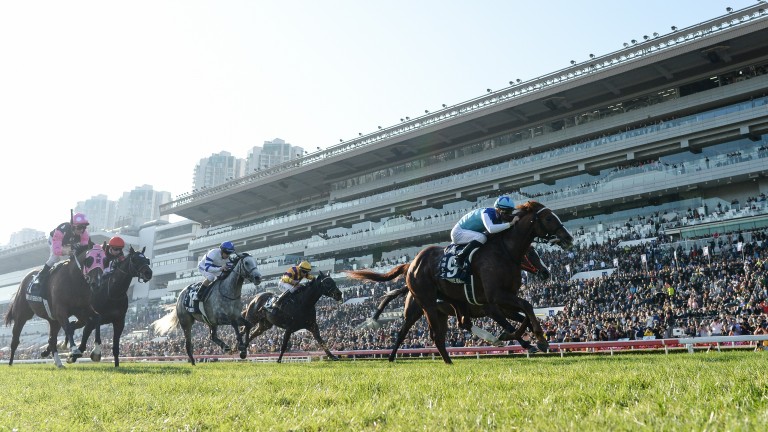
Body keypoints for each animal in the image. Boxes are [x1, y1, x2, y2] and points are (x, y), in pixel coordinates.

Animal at [344, 201, 572, 362]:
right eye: (549, 219)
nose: (568, 238)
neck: (504, 252)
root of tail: (412, 264)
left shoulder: (503, 301)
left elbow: (524, 314)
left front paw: (526, 339)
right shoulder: (494, 300)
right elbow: (523, 311)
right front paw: (537, 340)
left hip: (448, 306)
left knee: (456, 325)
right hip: (422, 306)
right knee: (413, 333)